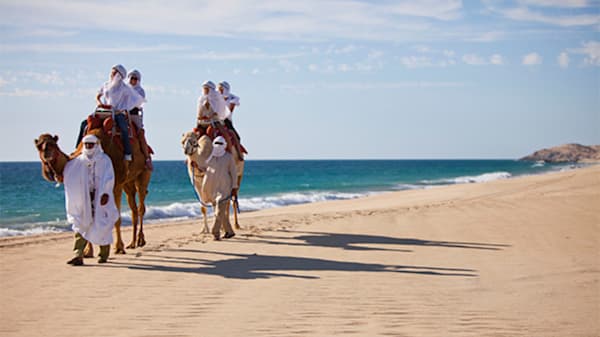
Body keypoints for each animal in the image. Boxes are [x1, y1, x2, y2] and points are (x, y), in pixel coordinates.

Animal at [34, 126, 151, 255]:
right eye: (38, 146)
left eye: (53, 144)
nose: (46, 153)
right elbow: (88, 218)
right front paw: (87, 252)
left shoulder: (115, 185)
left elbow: (116, 218)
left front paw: (119, 248)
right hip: (128, 183)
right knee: (133, 206)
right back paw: (132, 243)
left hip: (143, 173)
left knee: (140, 205)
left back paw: (140, 241)